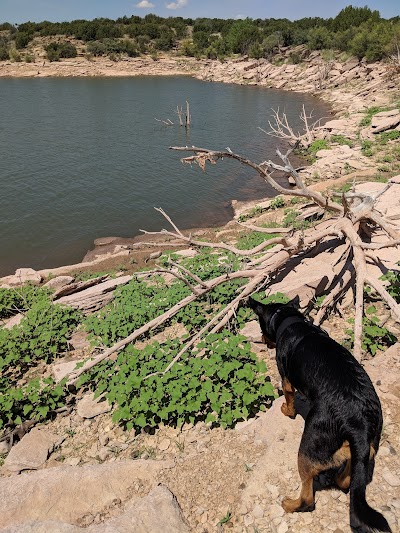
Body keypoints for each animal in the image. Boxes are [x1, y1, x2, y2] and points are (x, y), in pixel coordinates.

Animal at [248, 298, 392, 528]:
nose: (262, 340)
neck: (291, 321)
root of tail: (358, 423)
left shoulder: (286, 379)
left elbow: (289, 398)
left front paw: (287, 410)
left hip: (307, 450)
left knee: (308, 497)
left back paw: (290, 504)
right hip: (365, 446)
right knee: (346, 478)